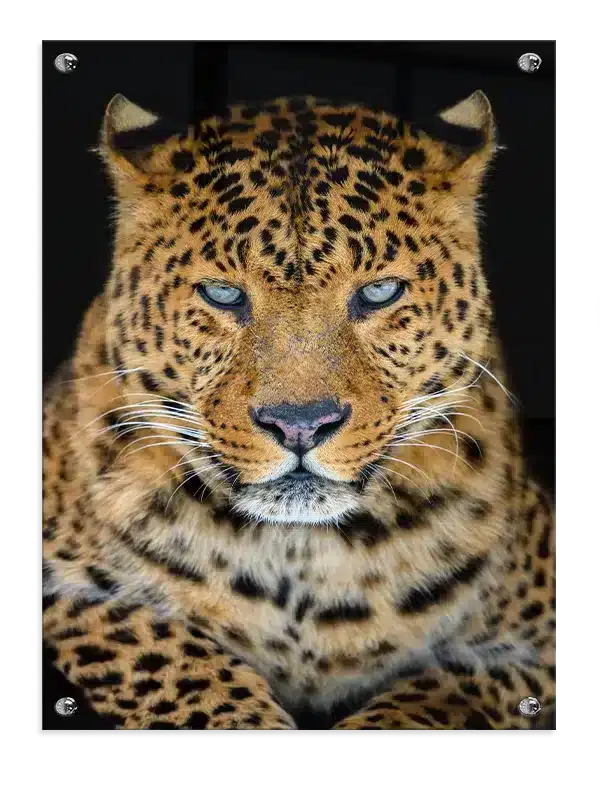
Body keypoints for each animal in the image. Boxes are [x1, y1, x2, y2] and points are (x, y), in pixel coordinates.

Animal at [42, 90, 556, 731]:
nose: (300, 425)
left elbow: (427, 700)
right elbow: (176, 661)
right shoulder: (68, 593)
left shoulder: (535, 642)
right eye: (223, 294)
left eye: (380, 293)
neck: (302, 557)